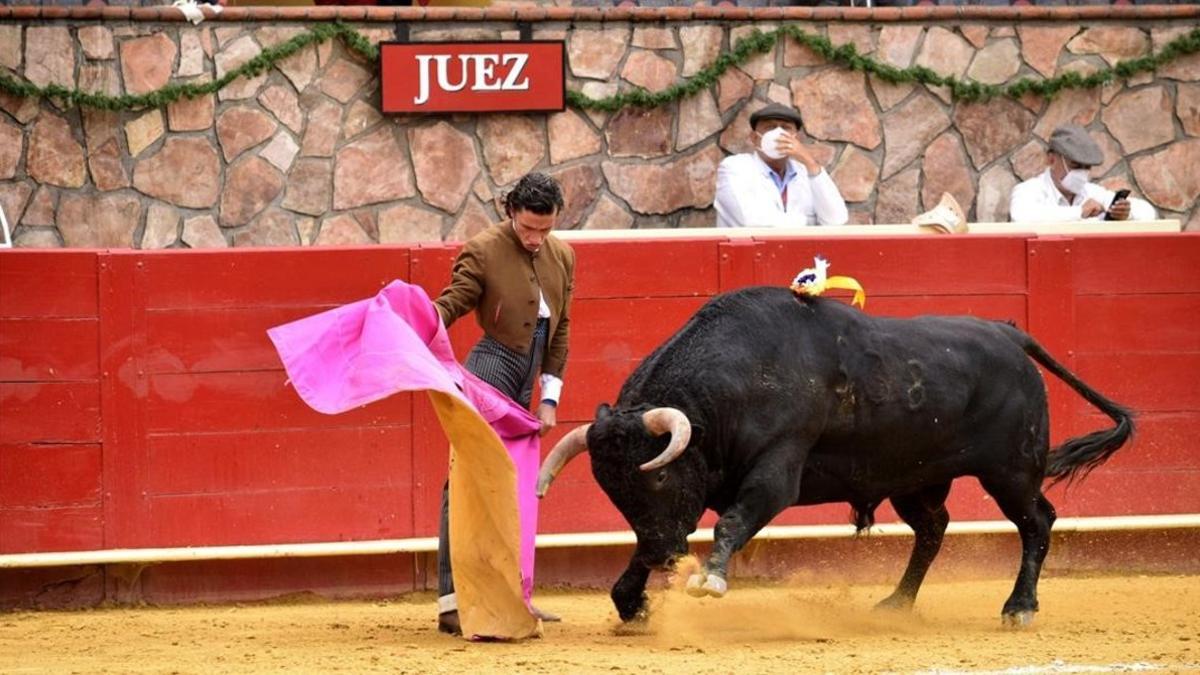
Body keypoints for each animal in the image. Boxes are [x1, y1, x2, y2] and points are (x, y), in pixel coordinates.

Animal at [537, 283, 1132, 624]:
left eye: (657, 477)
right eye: (611, 488)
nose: (666, 558)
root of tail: (1010, 335)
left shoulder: (776, 472)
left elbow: (733, 520)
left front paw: (709, 580)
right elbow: (655, 535)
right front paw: (630, 600)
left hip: (1010, 470)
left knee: (1037, 522)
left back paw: (1019, 607)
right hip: (913, 478)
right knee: (933, 528)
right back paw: (896, 604)